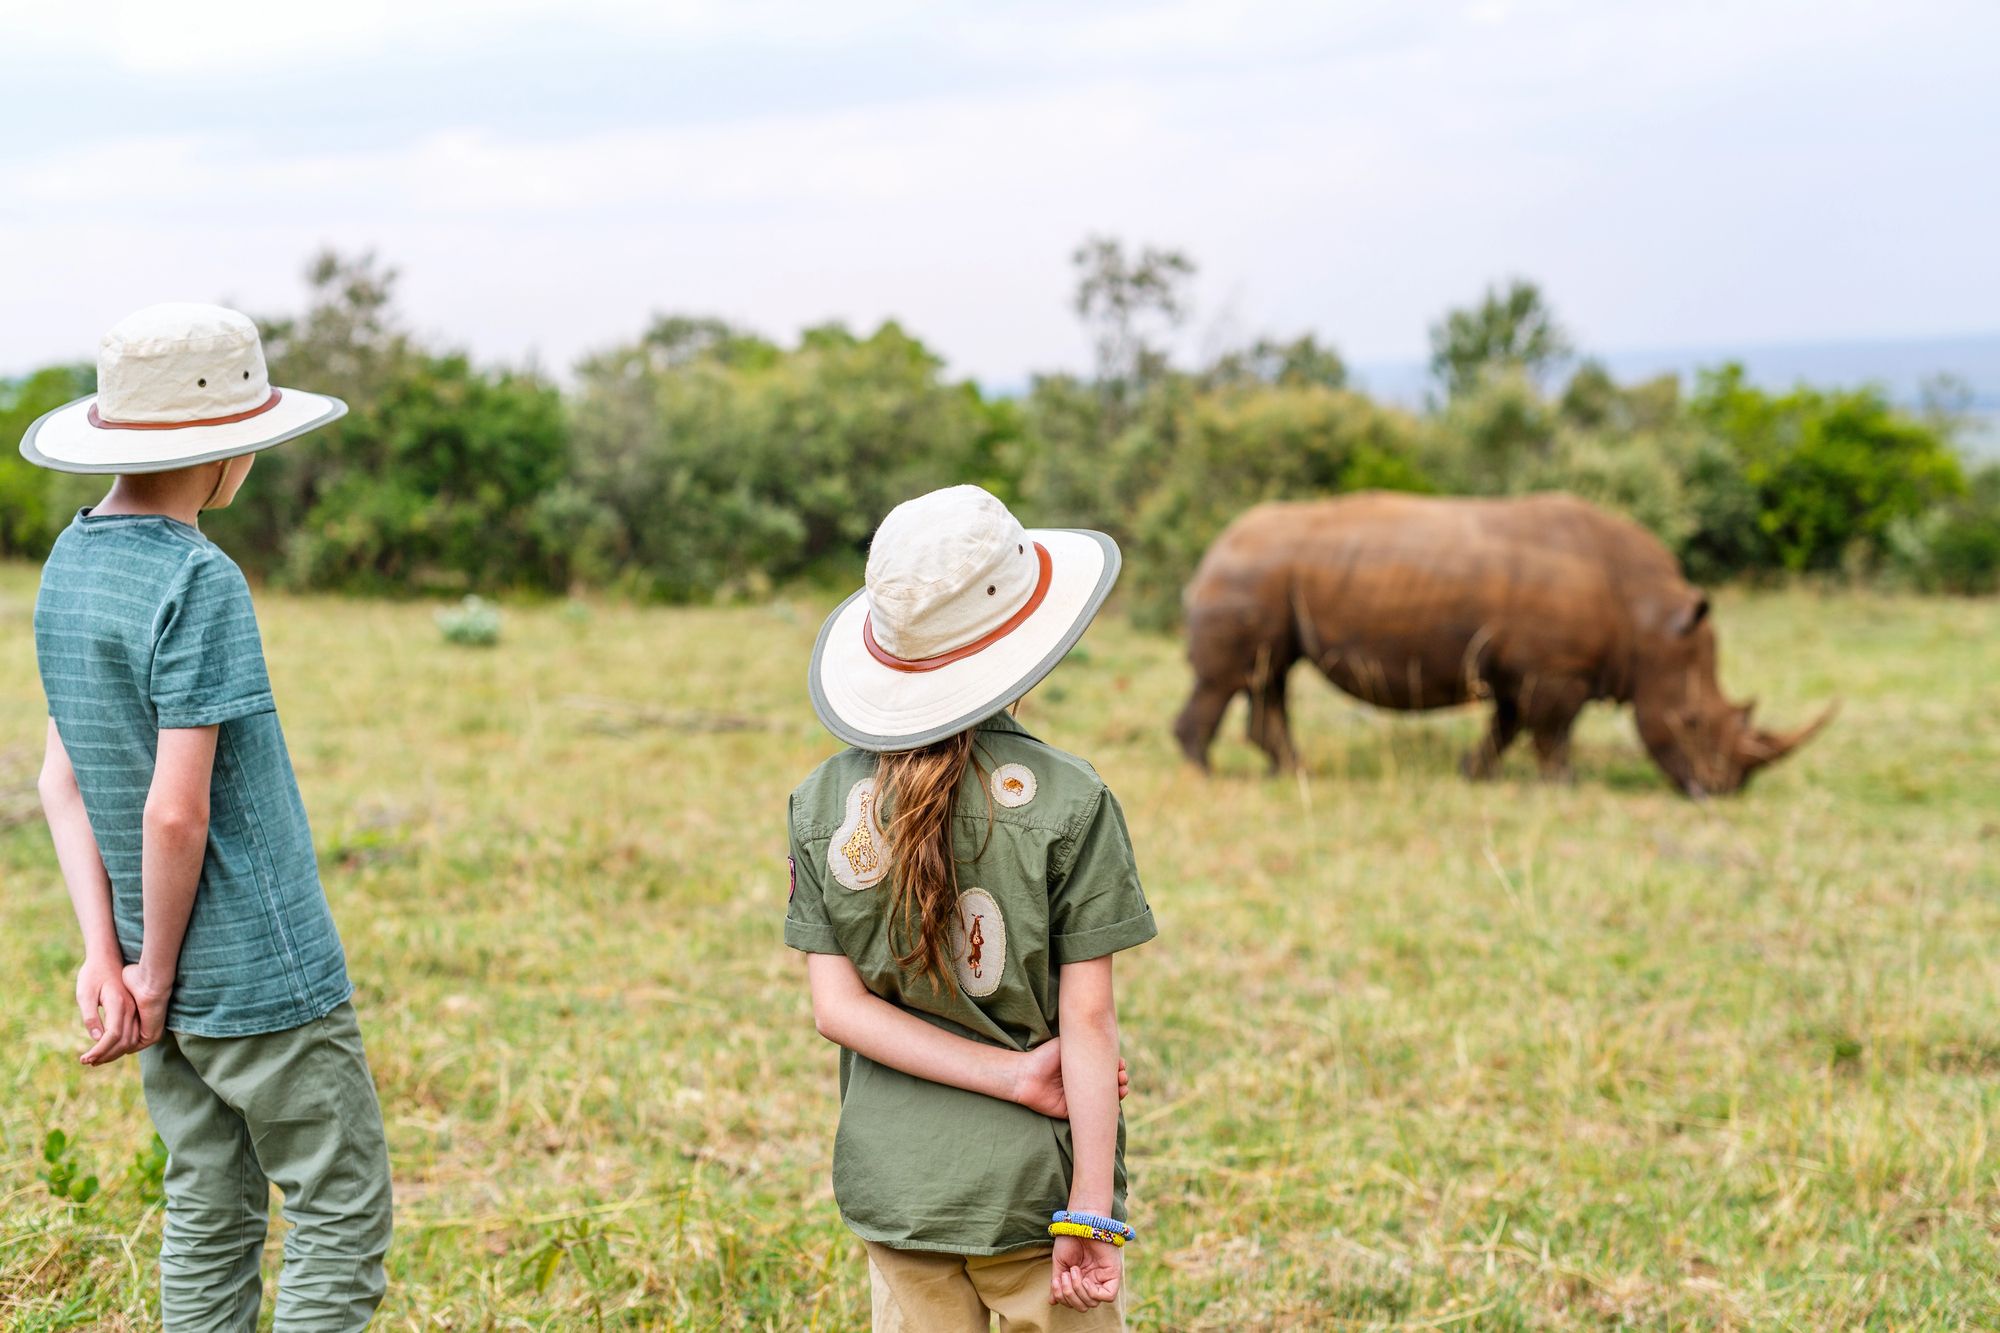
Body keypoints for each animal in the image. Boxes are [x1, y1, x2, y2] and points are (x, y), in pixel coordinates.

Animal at [1173, 492, 1834, 795]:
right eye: (1693, 721)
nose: (1720, 792)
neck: (1649, 624)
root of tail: (1213, 546)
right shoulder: (1554, 672)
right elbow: (1551, 732)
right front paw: (1565, 786)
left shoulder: (1527, 669)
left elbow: (1508, 726)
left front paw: (1474, 774)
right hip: (1248, 574)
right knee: (1230, 679)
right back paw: (1205, 773)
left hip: (1266, 575)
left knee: (1269, 677)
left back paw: (1294, 772)